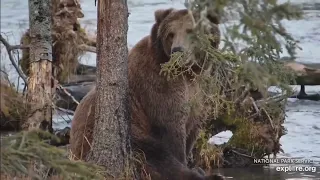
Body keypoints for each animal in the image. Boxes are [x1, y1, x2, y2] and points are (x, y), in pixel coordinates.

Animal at [70, 7, 222, 179]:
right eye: (171, 34)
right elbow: (171, 128)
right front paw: (185, 162)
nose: (177, 51)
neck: (186, 73)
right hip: (119, 134)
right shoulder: (157, 85)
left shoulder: (199, 91)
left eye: (190, 31)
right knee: (153, 154)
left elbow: (193, 127)